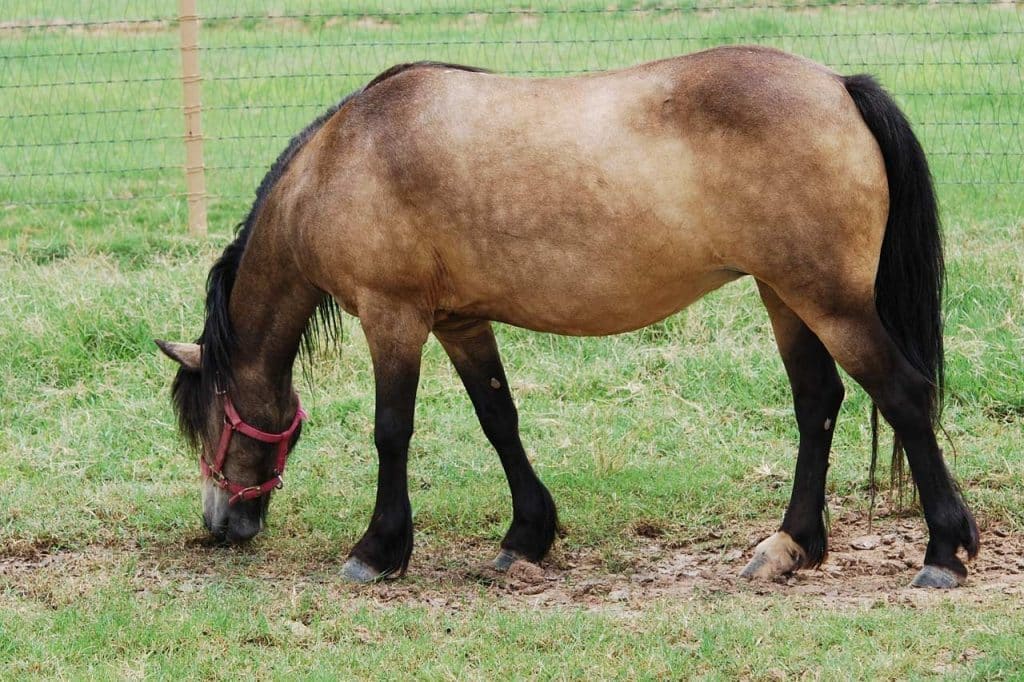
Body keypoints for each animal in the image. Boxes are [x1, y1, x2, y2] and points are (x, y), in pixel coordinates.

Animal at [156, 45, 979, 589]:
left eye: (212, 420)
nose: (221, 525)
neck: (342, 162)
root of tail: (838, 85)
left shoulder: (394, 318)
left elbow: (391, 432)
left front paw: (378, 549)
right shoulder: (459, 322)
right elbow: (499, 420)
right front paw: (527, 535)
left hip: (829, 302)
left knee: (904, 397)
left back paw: (945, 552)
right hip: (787, 297)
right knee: (818, 404)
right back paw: (790, 546)